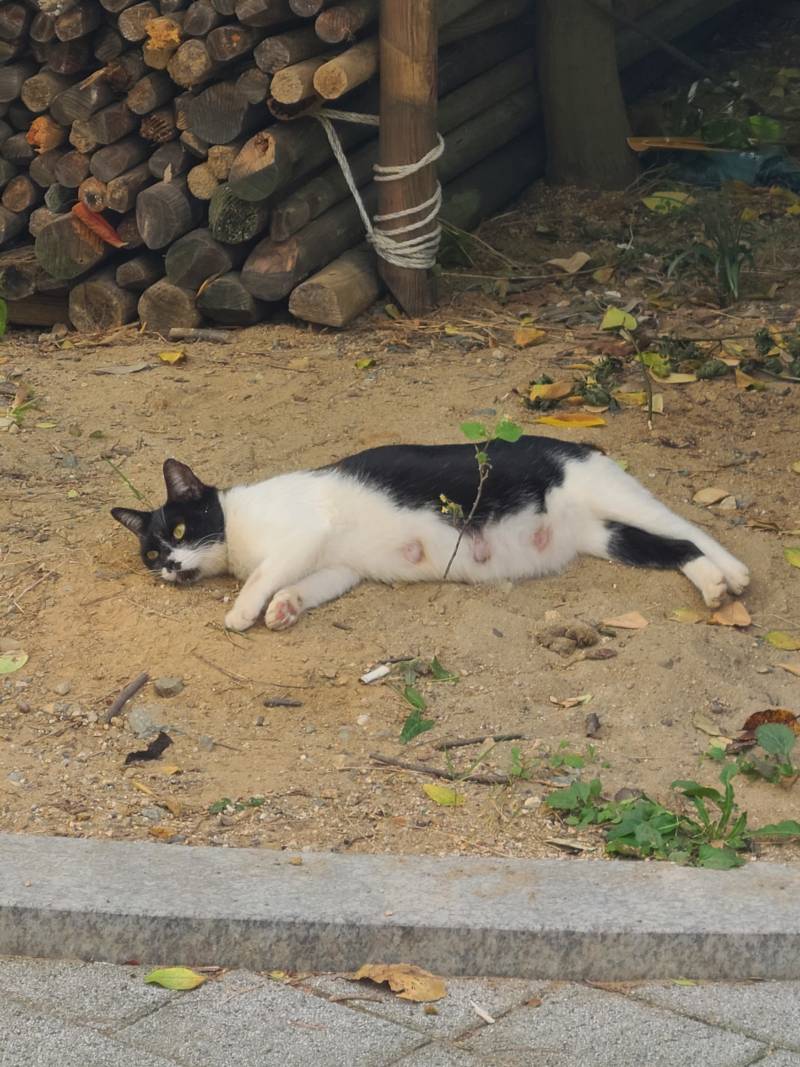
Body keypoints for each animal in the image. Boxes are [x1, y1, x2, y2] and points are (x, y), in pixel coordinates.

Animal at [111, 435, 750, 627]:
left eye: (182, 527)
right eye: (150, 555)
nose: (170, 565)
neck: (238, 531)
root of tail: (575, 442)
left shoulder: (301, 535)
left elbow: (265, 575)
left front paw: (243, 611)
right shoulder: (337, 566)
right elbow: (304, 584)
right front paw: (286, 608)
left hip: (611, 493)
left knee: (689, 527)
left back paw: (737, 573)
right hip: (607, 538)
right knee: (676, 547)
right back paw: (715, 586)